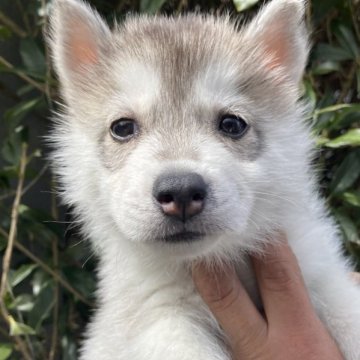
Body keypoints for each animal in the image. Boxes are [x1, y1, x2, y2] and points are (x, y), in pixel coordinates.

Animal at [48, 0, 360, 358]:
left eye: (232, 124)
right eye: (122, 127)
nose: (181, 192)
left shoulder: (323, 274)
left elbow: (348, 314)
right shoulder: (160, 316)